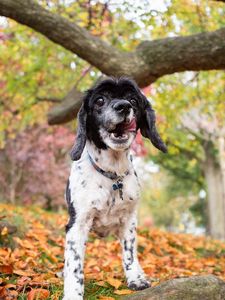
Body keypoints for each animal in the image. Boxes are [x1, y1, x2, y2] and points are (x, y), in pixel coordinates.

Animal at [63, 77, 167, 300]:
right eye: (100, 100)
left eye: (133, 100)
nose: (123, 106)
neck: (112, 174)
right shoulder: (77, 224)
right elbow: (74, 264)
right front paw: (73, 293)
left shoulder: (129, 221)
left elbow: (129, 253)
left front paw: (137, 279)